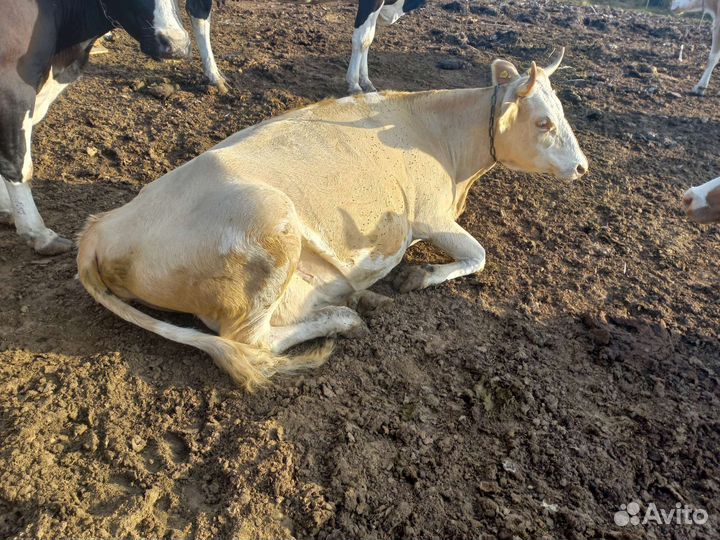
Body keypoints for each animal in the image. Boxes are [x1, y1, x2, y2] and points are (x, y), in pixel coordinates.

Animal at [77, 49, 588, 389]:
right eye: (543, 122)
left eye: (562, 113)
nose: (583, 167)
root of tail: (102, 227)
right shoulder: (428, 215)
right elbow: (478, 254)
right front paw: (418, 276)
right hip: (271, 232)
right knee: (251, 341)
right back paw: (345, 316)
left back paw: (361, 300)